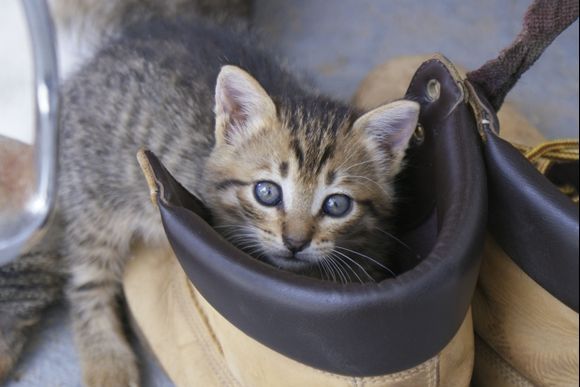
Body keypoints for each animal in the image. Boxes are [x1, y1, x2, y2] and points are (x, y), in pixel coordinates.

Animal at [0, 6, 416, 387]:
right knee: (87, 281)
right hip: (95, 198)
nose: (295, 242)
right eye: (267, 192)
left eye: (336, 204)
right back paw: (108, 364)